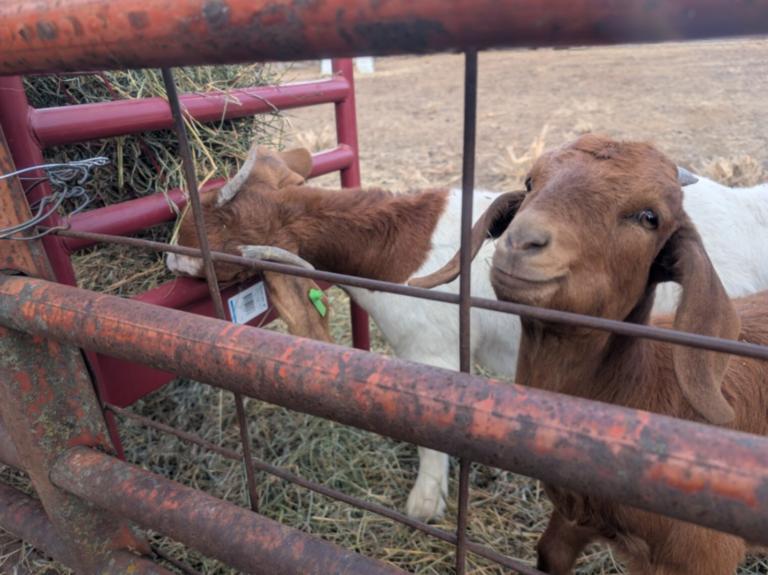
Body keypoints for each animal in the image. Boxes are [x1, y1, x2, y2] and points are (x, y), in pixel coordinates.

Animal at [414, 134, 768, 574]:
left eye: (650, 217)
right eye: (530, 182)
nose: (522, 241)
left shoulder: (703, 555)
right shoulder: (572, 518)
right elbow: (549, 554)